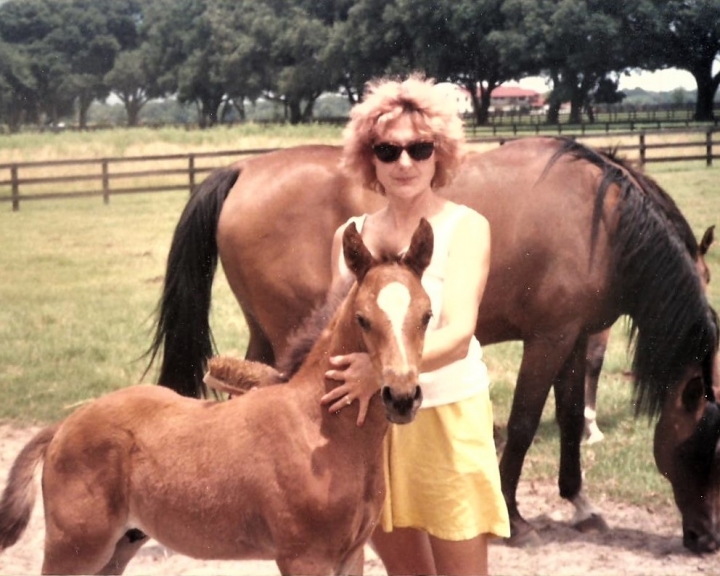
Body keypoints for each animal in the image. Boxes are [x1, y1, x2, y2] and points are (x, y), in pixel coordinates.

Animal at [0, 220, 434, 576]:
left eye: (427, 315)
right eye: (363, 319)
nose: (401, 397)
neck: (318, 428)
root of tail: (62, 427)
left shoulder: (350, 556)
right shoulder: (304, 557)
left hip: (119, 546)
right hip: (75, 548)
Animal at [148, 136, 720, 552]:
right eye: (701, 446)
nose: (707, 539)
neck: (602, 221)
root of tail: (244, 169)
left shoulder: (575, 336)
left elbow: (571, 417)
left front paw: (579, 504)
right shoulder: (549, 337)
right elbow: (524, 423)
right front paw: (515, 517)